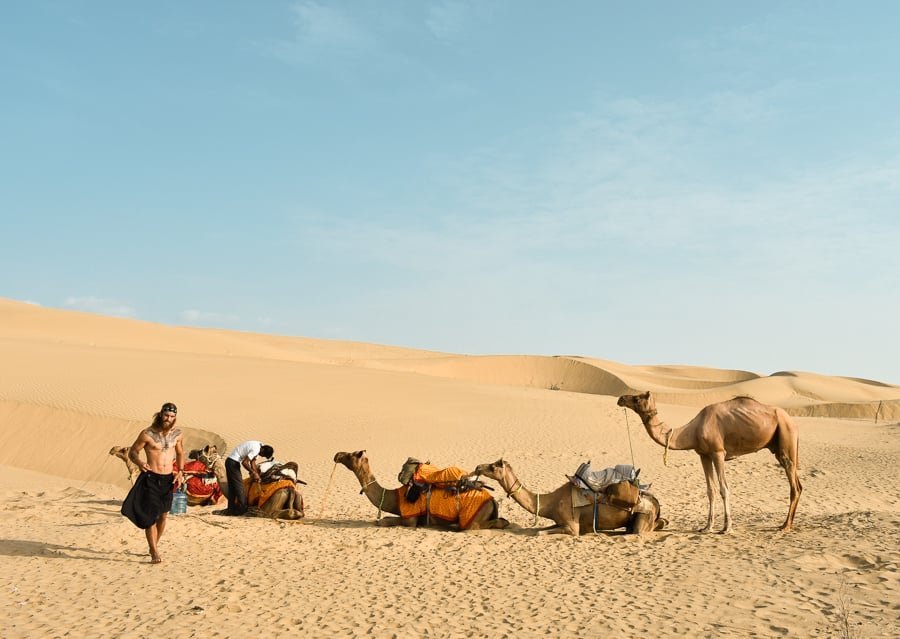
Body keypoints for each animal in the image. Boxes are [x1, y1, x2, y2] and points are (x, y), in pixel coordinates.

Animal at [333, 450, 509, 530]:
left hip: (472, 518)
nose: (337, 455)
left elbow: (383, 521)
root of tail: (493, 501)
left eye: (351, 455)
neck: (395, 497)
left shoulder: (410, 519)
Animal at [471, 459, 666, 536]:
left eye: (493, 467)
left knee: (640, 530)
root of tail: (656, 504)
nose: (478, 467)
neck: (550, 503)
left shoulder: (572, 527)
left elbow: (540, 533)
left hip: (644, 515)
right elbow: (540, 529)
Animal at [617, 391, 802, 533]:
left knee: (794, 486)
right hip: (778, 447)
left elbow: (724, 488)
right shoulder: (704, 455)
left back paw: (785, 526)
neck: (692, 430)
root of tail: (793, 422)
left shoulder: (718, 452)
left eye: (637, 398)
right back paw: (787, 524)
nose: (621, 398)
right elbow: (710, 490)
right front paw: (707, 527)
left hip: (786, 437)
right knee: (798, 485)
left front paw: (727, 528)